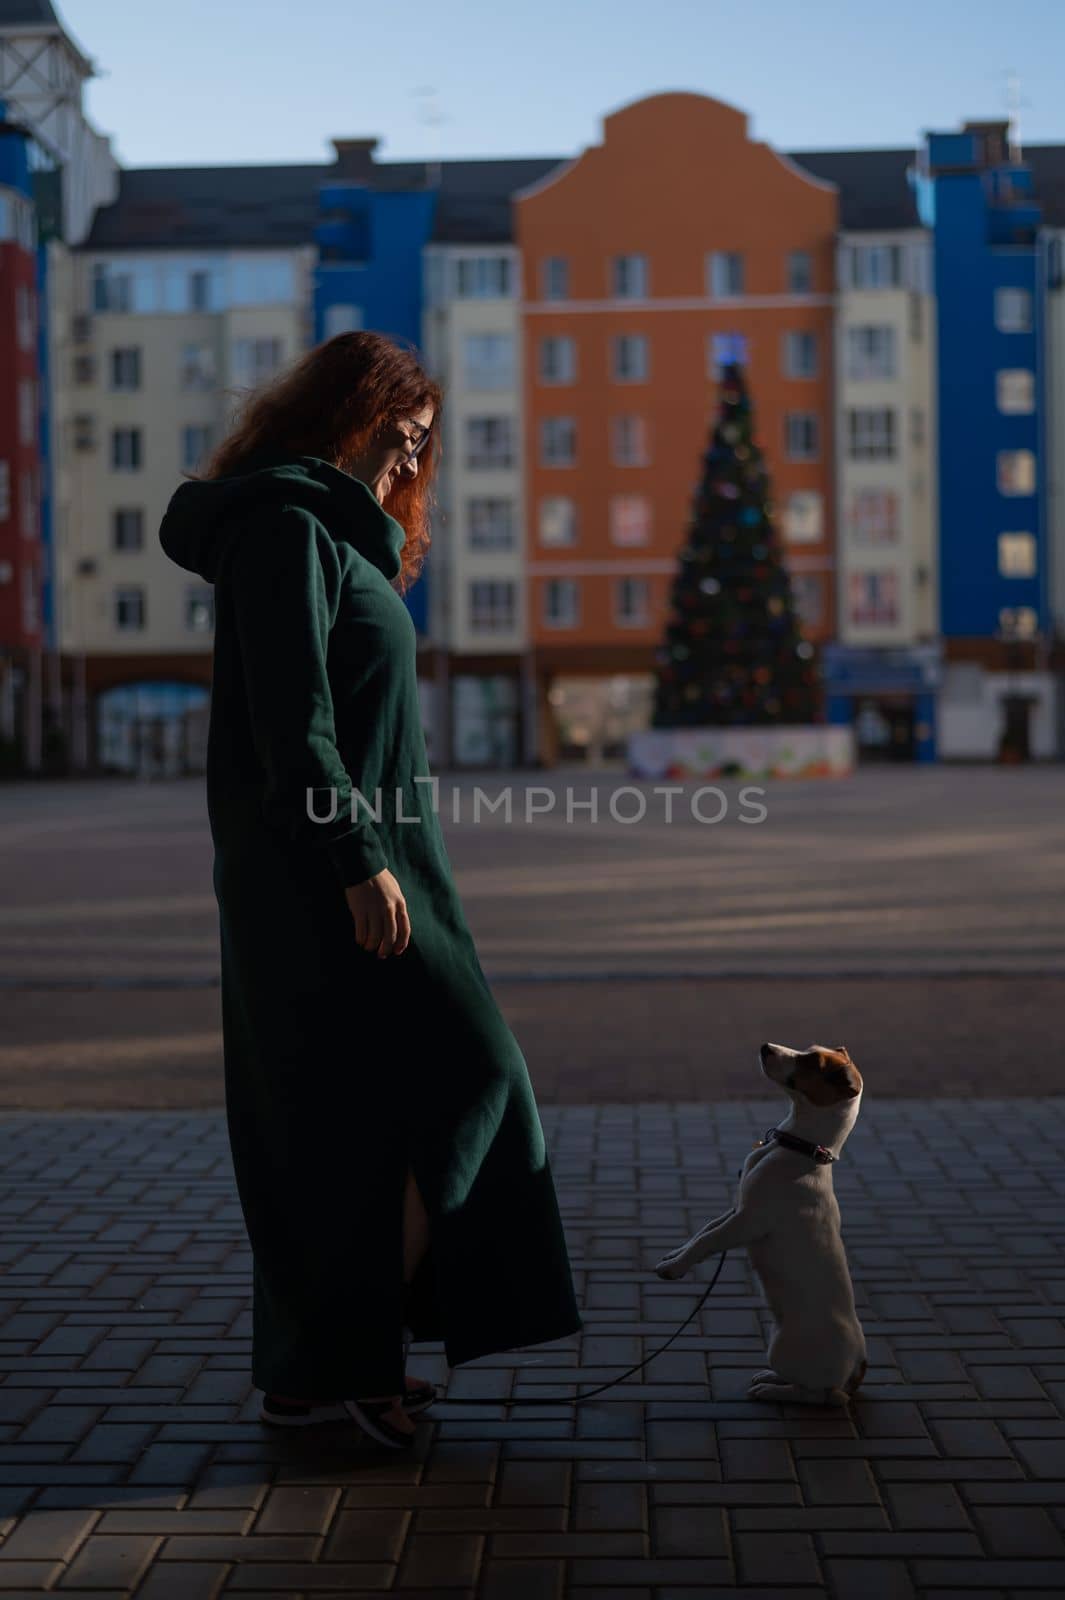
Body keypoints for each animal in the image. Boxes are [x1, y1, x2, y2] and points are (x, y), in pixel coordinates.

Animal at [655, 1043, 863, 1408]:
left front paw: (675, 1268)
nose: (765, 1047)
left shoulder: (748, 1221)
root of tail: (854, 1371)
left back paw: (771, 1389)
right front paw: (673, 1255)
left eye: (812, 1062)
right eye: (810, 1050)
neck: (803, 1151)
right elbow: (704, 1230)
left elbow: (707, 1242)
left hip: (783, 1349)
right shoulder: (738, 1208)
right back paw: (769, 1379)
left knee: (817, 1395)